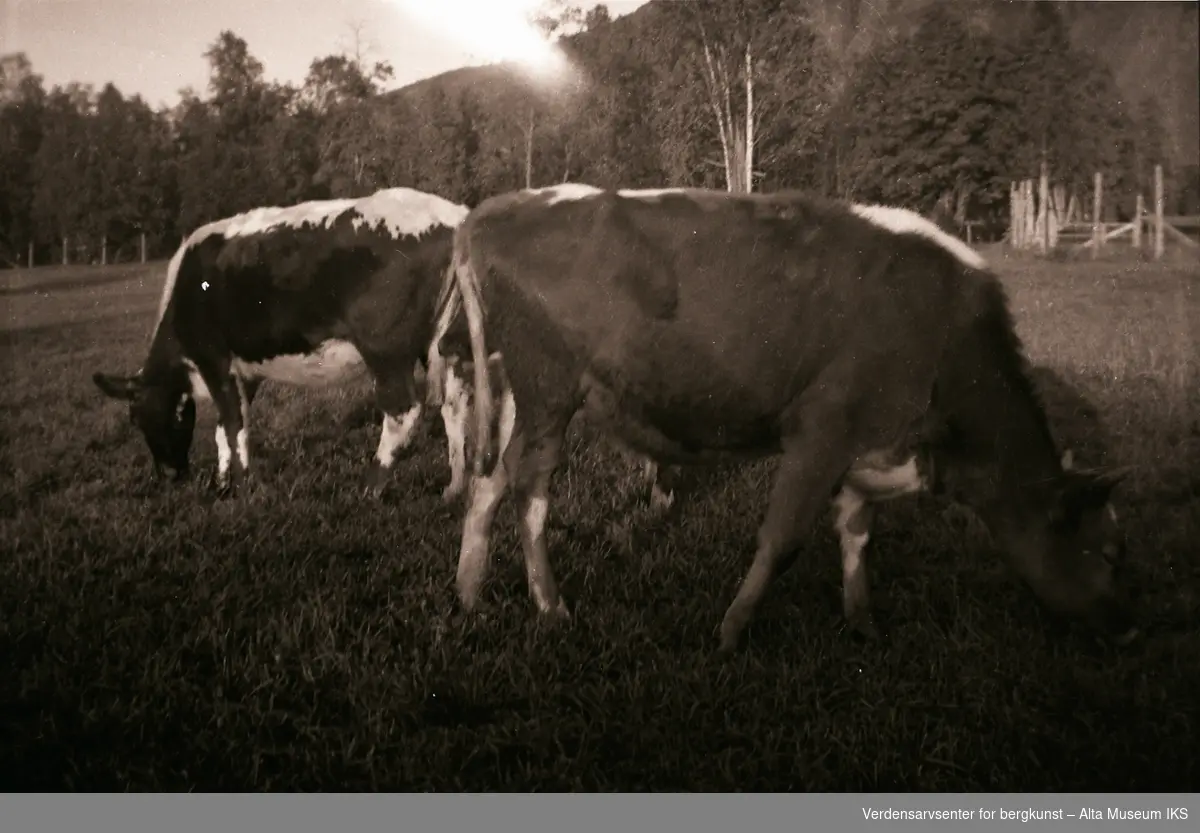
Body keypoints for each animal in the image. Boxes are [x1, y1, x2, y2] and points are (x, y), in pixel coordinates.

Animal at [92, 189, 472, 499]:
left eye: (153, 415)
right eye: (136, 419)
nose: (170, 475)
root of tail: (452, 217)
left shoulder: (214, 359)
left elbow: (234, 425)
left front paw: (243, 487)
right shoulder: (243, 372)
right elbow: (224, 429)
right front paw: (223, 483)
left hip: (385, 348)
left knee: (402, 410)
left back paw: (369, 488)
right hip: (446, 343)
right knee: (455, 405)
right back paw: (454, 489)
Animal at [429, 186, 1132, 657]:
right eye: (1103, 550)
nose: (1125, 626)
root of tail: (494, 209)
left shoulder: (866, 442)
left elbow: (857, 534)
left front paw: (862, 621)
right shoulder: (821, 431)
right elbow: (784, 540)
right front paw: (731, 631)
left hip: (526, 394)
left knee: (495, 477)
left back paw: (470, 594)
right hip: (550, 387)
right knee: (529, 487)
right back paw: (550, 605)